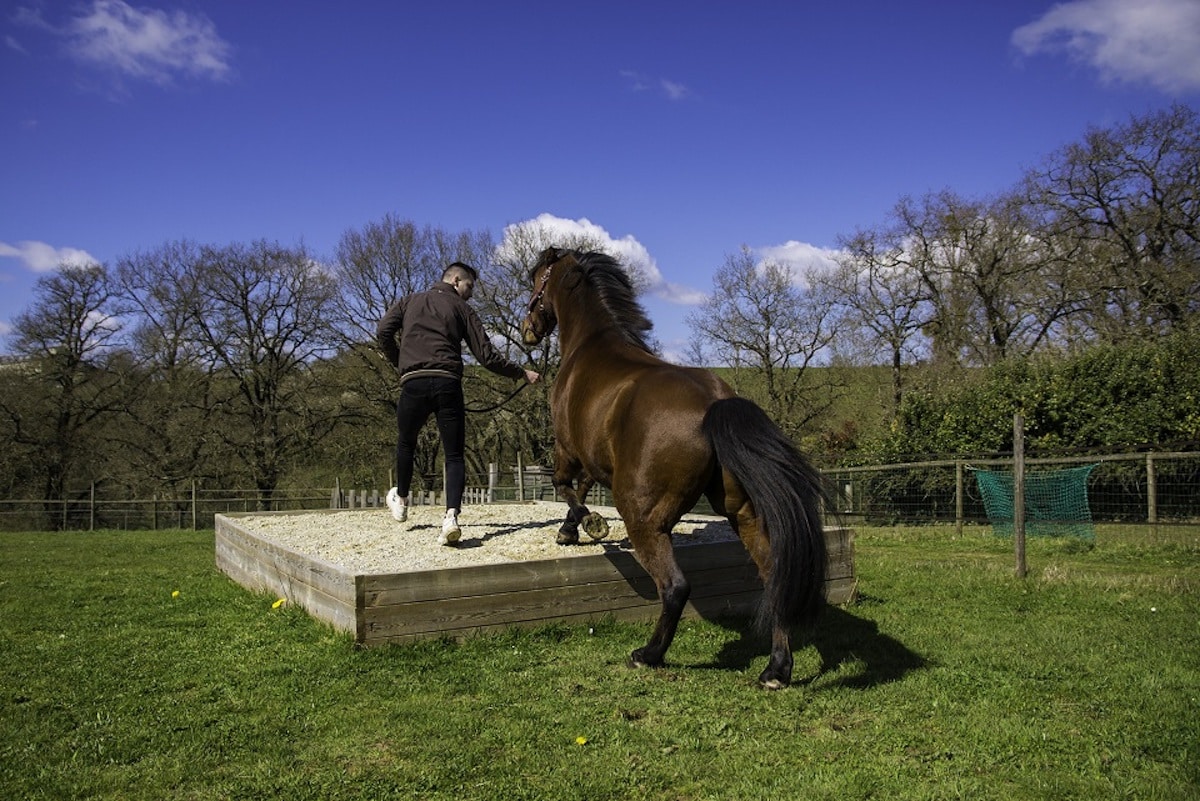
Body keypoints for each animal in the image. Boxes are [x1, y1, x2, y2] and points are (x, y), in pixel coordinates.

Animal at [520, 245, 830, 690]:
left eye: (536, 282)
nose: (527, 328)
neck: (590, 345)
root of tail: (714, 403)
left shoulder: (567, 447)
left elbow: (567, 486)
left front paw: (585, 526)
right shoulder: (595, 457)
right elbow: (581, 487)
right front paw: (573, 528)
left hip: (644, 517)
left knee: (675, 586)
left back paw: (648, 654)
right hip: (742, 512)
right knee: (774, 576)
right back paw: (776, 669)